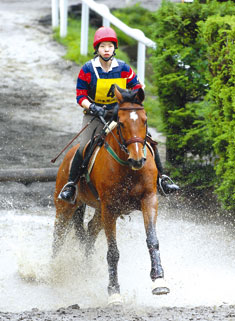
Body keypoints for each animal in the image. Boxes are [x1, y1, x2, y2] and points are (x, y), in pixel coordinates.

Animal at [53, 84, 169, 302]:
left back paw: (87, 269)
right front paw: (114, 291)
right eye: (122, 124)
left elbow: (153, 240)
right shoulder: (110, 208)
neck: (128, 167)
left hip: (99, 210)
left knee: (90, 230)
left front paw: (159, 281)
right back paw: (52, 271)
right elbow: (113, 252)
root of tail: (68, 156)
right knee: (58, 236)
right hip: (66, 207)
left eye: (145, 120)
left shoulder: (149, 200)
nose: (138, 160)